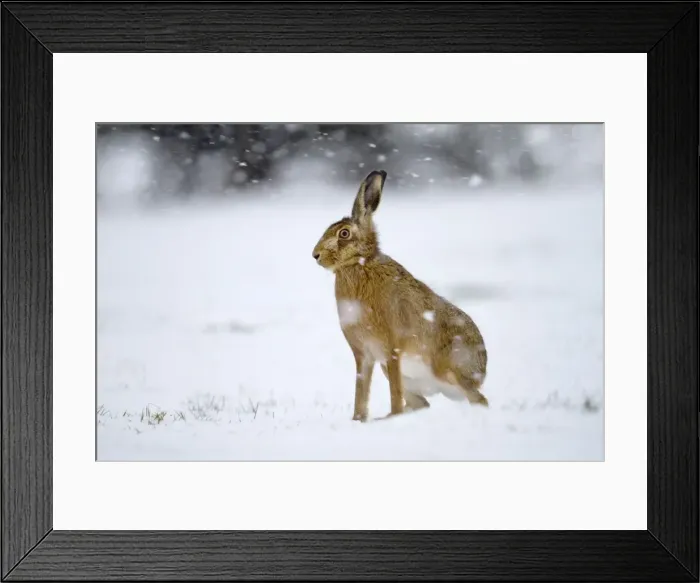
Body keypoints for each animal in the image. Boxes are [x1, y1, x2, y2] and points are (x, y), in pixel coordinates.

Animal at [312, 170, 488, 422]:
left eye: (343, 234)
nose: (315, 255)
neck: (359, 264)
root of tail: (482, 371)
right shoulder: (364, 355)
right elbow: (361, 391)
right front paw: (357, 421)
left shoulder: (392, 348)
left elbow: (393, 392)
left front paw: (387, 416)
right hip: (399, 373)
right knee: (423, 403)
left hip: (449, 369)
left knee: (479, 400)